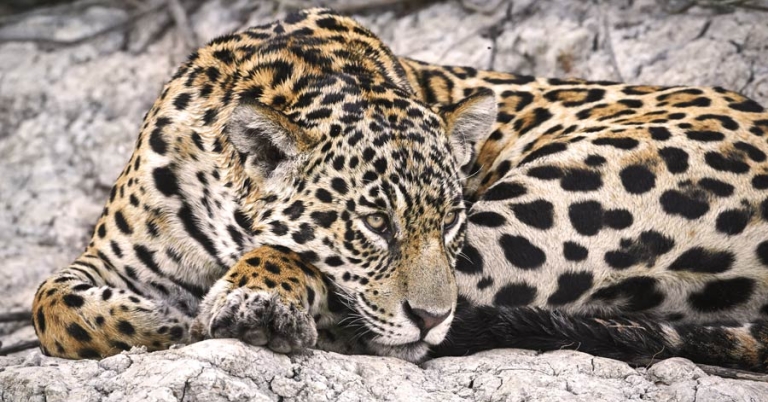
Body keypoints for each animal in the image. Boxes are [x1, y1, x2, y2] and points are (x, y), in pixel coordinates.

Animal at [31, 8, 768, 371]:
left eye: (448, 224)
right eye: (374, 225)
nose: (431, 317)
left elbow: (296, 260)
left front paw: (247, 300)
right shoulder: (109, 258)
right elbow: (49, 304)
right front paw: (156, 323)